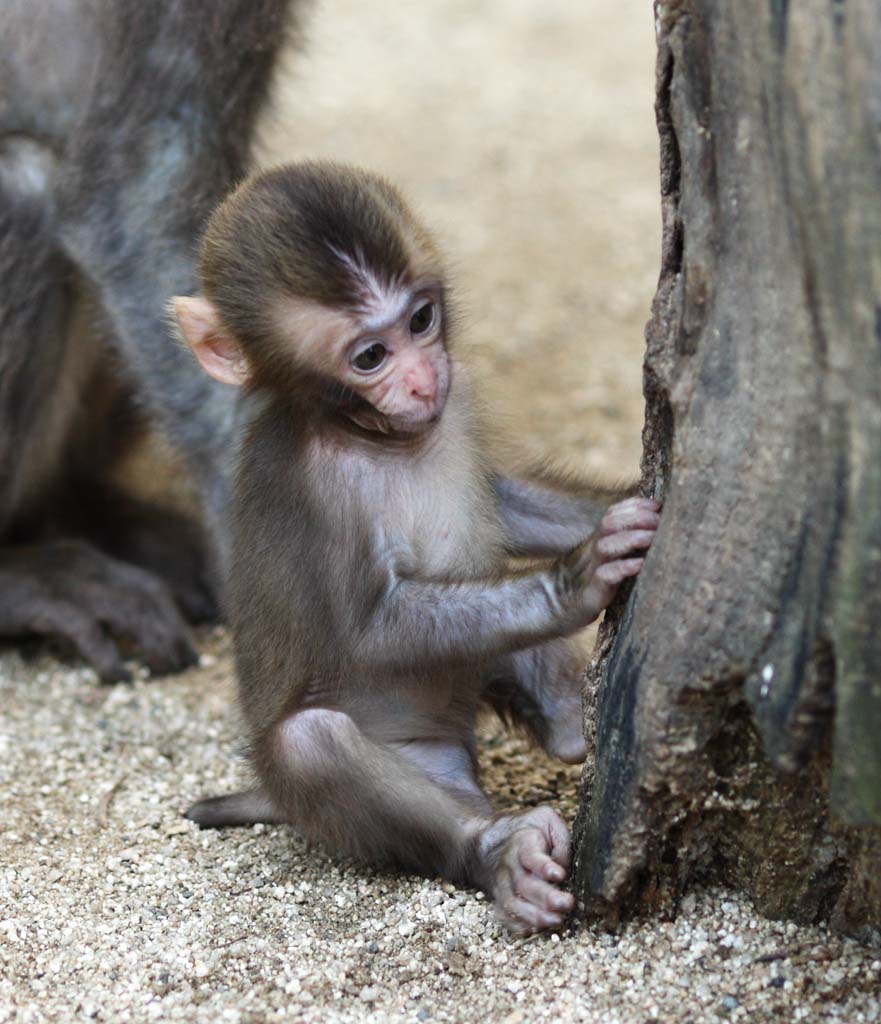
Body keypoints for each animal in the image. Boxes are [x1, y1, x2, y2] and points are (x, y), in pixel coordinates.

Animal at [174, 161, 659, 937]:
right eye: (370, 356)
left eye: (420, 321)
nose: (423, 379)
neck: (372, 435)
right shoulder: (318, 491)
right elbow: (371, 629)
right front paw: (577, 578)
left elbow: (500, 501)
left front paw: (615, 506)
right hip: (389, 773)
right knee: (310, 746)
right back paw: (496, 852)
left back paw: (566, 724)